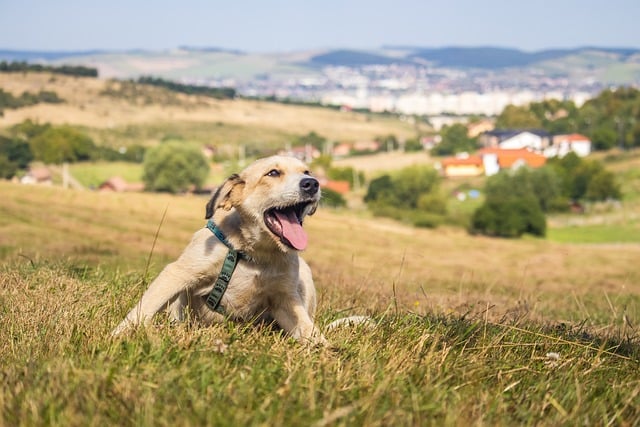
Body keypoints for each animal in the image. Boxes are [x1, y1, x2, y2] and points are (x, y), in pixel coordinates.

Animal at [110, 155, 328, 346]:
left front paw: (326, 352)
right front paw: (117, 336)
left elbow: (309, 330)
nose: (312, 183)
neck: (254, 254)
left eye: (306, 172)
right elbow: (145, 307)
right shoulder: (179, 273)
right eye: (273, 173)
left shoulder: (285, 298)